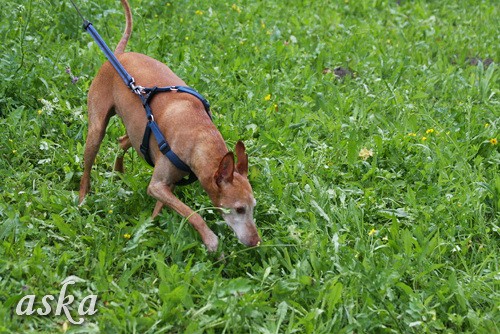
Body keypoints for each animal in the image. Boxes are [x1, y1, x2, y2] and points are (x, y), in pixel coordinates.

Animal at [78, 0, 260, 250]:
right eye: (239, 209)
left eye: (253, 208)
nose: (256, 242)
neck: (200, 135)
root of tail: (118, 55)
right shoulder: (157, 185)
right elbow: (193, 214)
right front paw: (210, 239)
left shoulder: (168, 184)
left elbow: (165, 208)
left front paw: (150, 229)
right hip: (96, 131)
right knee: (87, 168)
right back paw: (82, 199)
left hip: (136, 131)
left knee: (122, 141)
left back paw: (119, 171)